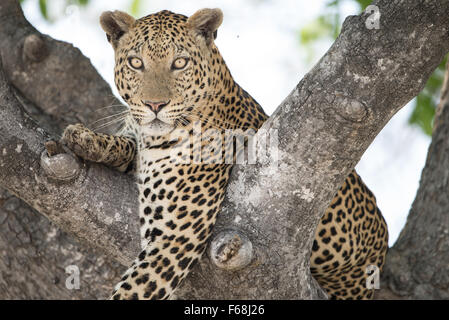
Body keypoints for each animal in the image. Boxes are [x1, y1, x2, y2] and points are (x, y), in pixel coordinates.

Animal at [59, 8, 386, 300]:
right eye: (136, 63)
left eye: (180, 63)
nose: (155, 105)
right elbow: (124, 142)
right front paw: (85, 138)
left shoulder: (175, 237)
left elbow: (133, 290)